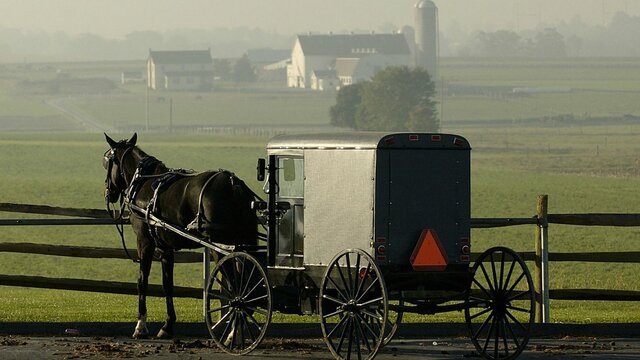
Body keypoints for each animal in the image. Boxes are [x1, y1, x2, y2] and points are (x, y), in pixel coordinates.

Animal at [102, 134, 258, 338]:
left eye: (106, 162)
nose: (108, 193)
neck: (143, 183)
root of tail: (234, 185)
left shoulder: (145, 242)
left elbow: (142, 281)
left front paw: (141, 326)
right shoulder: (165, 247)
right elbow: (167, 284)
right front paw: (167, 325)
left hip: (221, 247)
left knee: (236, 286)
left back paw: (234, 331)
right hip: (242, 242)